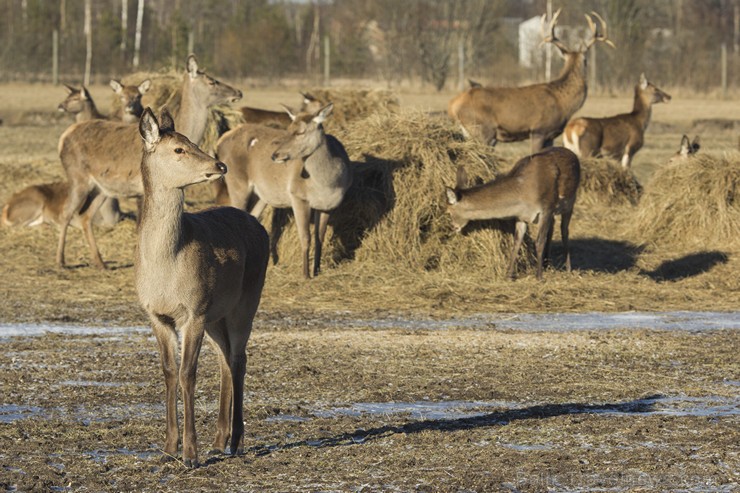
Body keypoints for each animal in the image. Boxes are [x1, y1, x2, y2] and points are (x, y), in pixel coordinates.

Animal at [57, 54, 243, 270]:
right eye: (212, 81)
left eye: (195, 144)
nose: (238, 92)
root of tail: (63, 138)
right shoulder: (140, 188)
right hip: (77, 178)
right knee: (66, 212)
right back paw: (61, 260)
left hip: (101, 188)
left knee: (85, 216)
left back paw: (100, 262)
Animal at [136, 107, 268, 468]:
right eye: (179, 149)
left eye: (193, 142)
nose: (219, 165)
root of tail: (261, 227)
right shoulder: (157, 315)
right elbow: (169, 371)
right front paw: (169, 448)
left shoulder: (193, 310)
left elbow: (188, 373)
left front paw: (190, 454)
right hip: (216, 316)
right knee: (225, 358)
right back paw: (219, 440)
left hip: (246, 303)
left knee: (239, 357)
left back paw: (236, 441)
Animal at [217, 102, 352, 278]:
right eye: (288, 129)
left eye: (300, 132)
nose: (275, 155)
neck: (329, 184)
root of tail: (220, 141)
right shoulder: (298, 196)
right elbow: (306, 237)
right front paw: (305, 274)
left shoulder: (328, 206)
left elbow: (319, 238)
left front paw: (317, 270)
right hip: (236, 182)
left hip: (260, 195)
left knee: (252, 216)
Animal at [442, 146, 580, 278]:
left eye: (448, 212)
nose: (453, 227)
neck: (524, 192)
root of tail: (573, 154)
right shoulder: (521, 216)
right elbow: (516, 242)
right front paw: (508, 274)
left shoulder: (546, 208)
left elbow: (539, 241)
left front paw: (539, 276)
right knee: (552, 228)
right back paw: (547, 264)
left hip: (570, 202)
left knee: (564, 230)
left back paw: (568, 268)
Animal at [448, 8, 616, 151]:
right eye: (586, 60)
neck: (563, 102)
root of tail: (452, 106)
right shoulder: (538, 130)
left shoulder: (550, 135)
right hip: (482, 129)